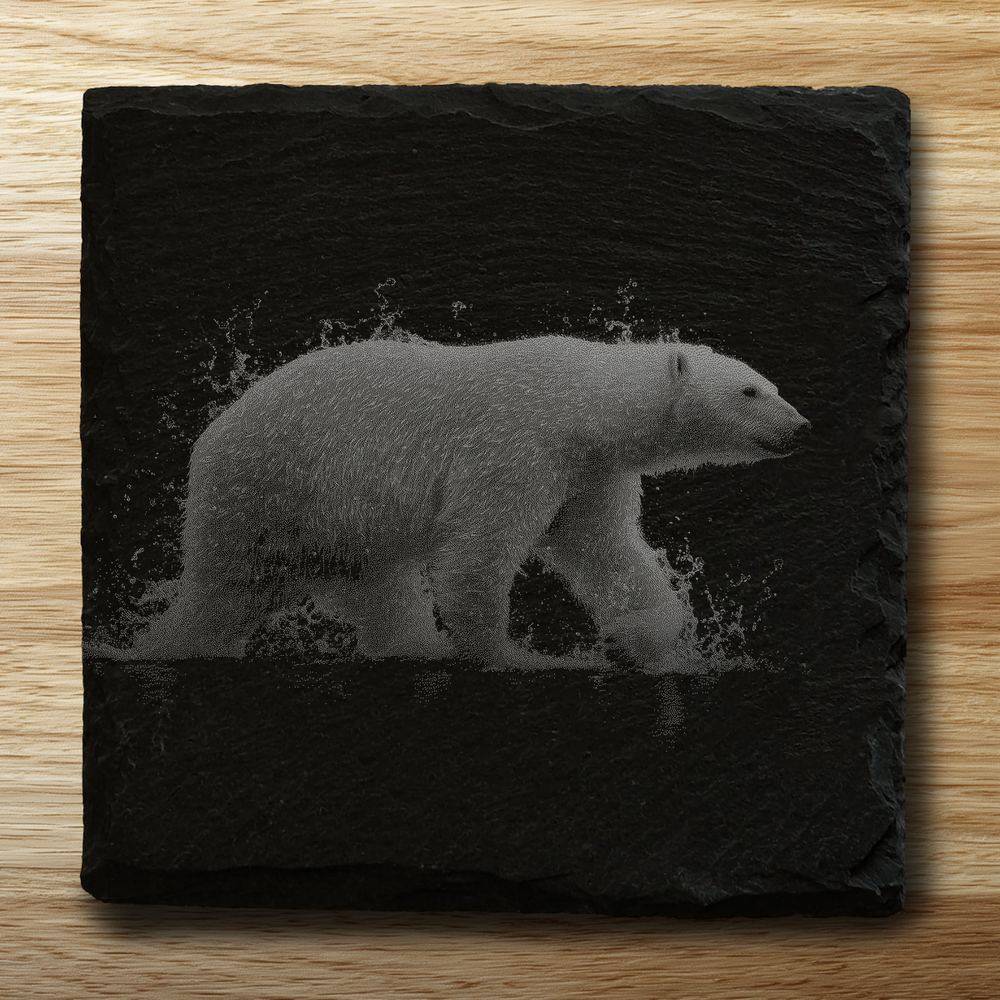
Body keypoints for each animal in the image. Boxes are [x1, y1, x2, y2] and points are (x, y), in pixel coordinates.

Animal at [135, 335, 809, 668]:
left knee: (379, 590)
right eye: (751, 391)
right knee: (225, 590)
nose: (800, 427)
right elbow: (475, 550)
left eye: (772, 383)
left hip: (337, 531)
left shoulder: (587, 473)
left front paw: (661, 641)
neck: (583, 401)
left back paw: (415, 646)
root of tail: (211, 440)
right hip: (273, 493)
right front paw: (517, 655)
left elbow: (608, 552)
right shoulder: (518, 443)